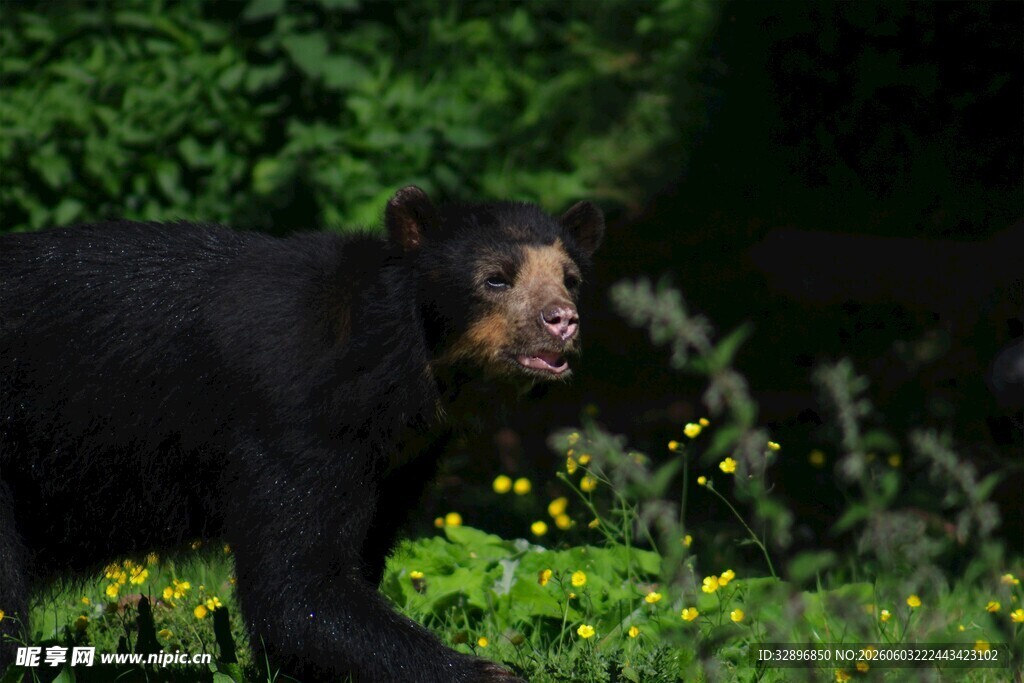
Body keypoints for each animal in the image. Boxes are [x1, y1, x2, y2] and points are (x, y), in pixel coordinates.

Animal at [0, 186, 604, 682]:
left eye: (571, 279)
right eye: (496, 277)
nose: (562, 320)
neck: (396, 368)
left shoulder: (400, 457)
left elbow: (344, 564)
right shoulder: (293, 416)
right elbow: (298, 587)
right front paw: (488, 672)